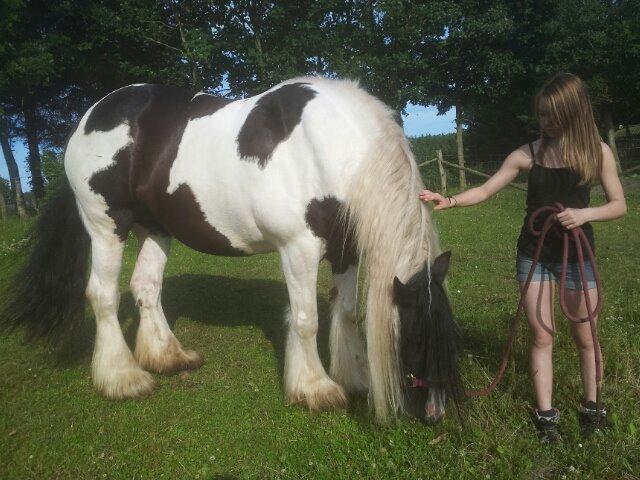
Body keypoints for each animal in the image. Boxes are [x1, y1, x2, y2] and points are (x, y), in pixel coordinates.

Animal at [0, 77, 460, 422]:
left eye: (448, 333)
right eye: (418, 337)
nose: (436, 413)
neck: (328, 146)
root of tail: (90, 117)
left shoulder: (344, 250)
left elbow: (344, 313)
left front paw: (353, 377)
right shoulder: (298, 248)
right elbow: (306, 319)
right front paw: (315, 388)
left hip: (156, 228)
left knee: (146, 286)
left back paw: (168, 357)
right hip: (106, 225)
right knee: (102, 294)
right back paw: (123, 378)